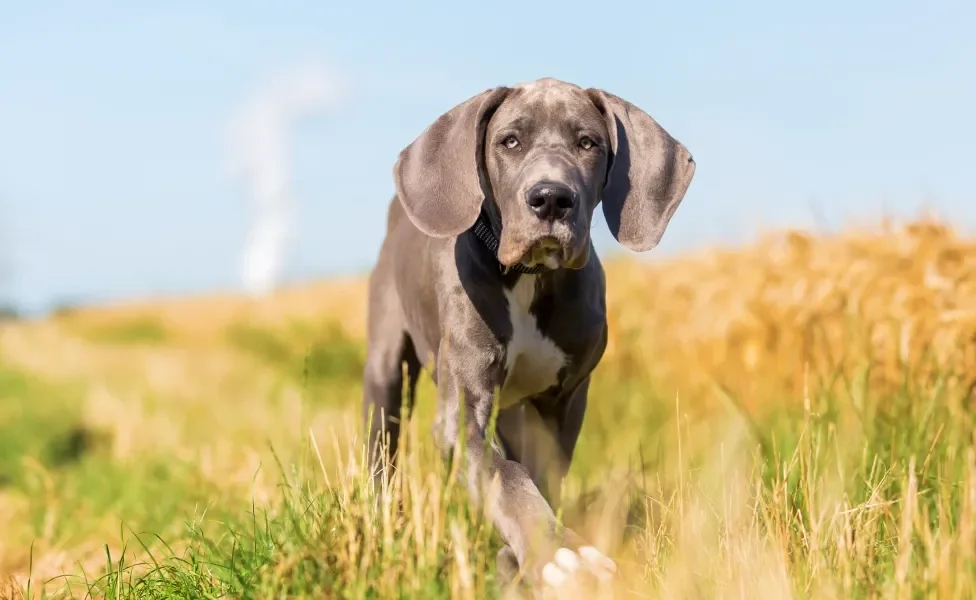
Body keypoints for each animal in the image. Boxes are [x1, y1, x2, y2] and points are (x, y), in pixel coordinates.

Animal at [364, 77, 692, 592]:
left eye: (588, 143)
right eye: (510, 142)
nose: (551, 198)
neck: (530, 278)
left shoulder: (565, 403)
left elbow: (544, 477)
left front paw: (523, 560)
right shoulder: (463, 414)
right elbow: (508, 478)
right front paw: (560, 555)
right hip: (385, 369)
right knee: (383, 448)